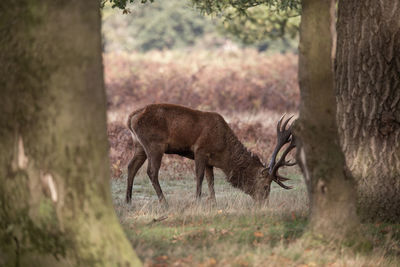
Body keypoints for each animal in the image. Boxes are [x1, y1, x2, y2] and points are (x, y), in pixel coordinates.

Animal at [126, 103, 296, 207]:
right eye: (266, 186)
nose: (264, 204)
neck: (223, 153)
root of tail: (131, 118)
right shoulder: (200, 150)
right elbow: (200, 176)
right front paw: (197, 201)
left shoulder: (209, 161)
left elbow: (211, 180)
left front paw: (213, 203)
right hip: (154, 144)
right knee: (151, 172)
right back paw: (164, 203)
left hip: (139, 145)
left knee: (131, 167)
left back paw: (128, 201)